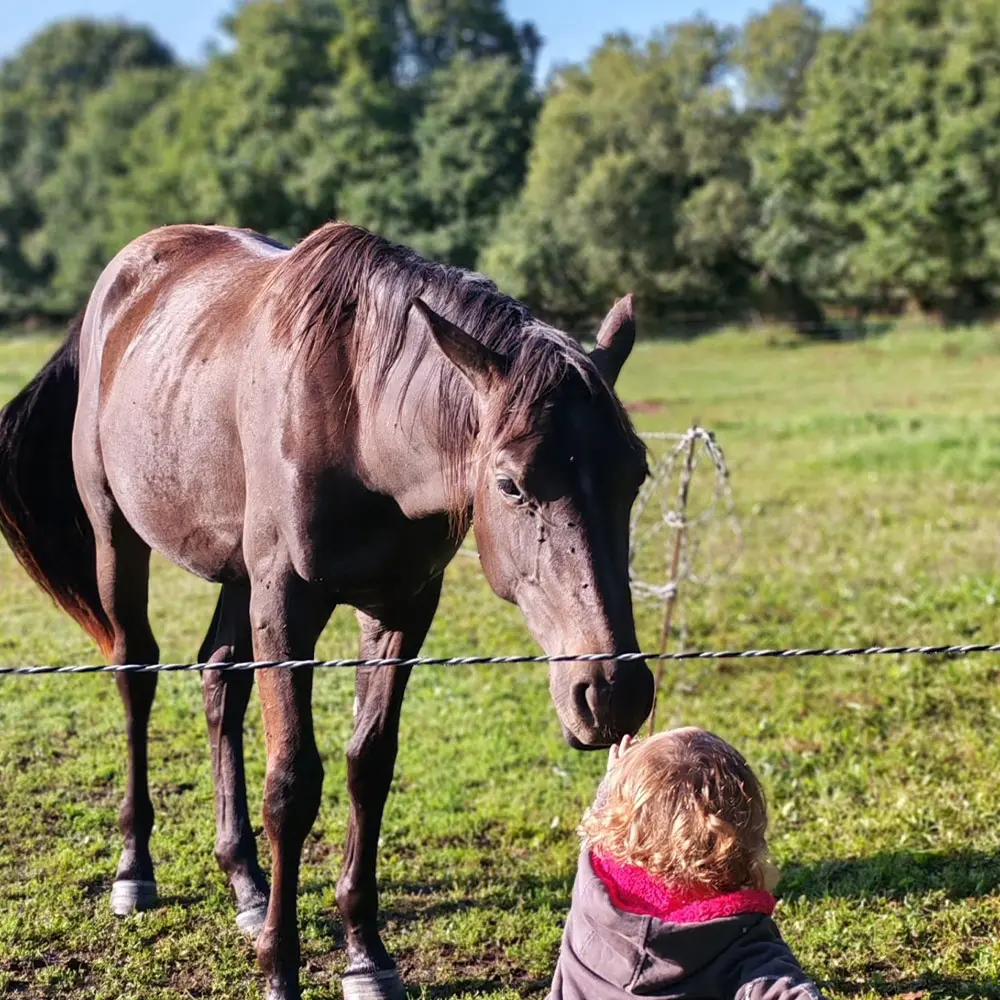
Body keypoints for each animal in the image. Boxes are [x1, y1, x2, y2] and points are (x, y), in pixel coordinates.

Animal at [0, 221, 654, 1000]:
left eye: (637, 474)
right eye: (510, 483)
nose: (613, 691)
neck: (360, 417)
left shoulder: (402, 607)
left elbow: (368, 765)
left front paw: (366, 955)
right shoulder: (287, 604)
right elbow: (292, 784)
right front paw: (280, 970)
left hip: (237, 574)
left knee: (219, 682)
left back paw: (246, 883)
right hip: (117, 538)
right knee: (137, 675)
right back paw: (136, 871)